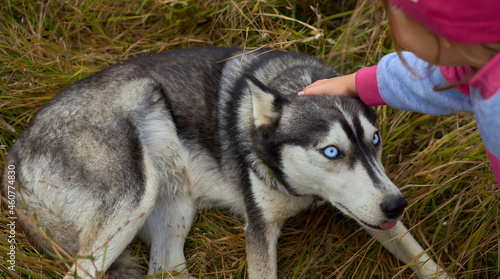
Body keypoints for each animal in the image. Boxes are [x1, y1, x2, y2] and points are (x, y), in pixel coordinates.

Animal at [2, 47, 450, 278]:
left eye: (375, 141)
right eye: (332, 152)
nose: (396, 205)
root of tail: (17, 149)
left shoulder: (371, 213)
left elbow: (426, 262)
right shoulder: (260, 230)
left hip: (174, 215)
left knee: (163, 267)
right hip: (132, 202)